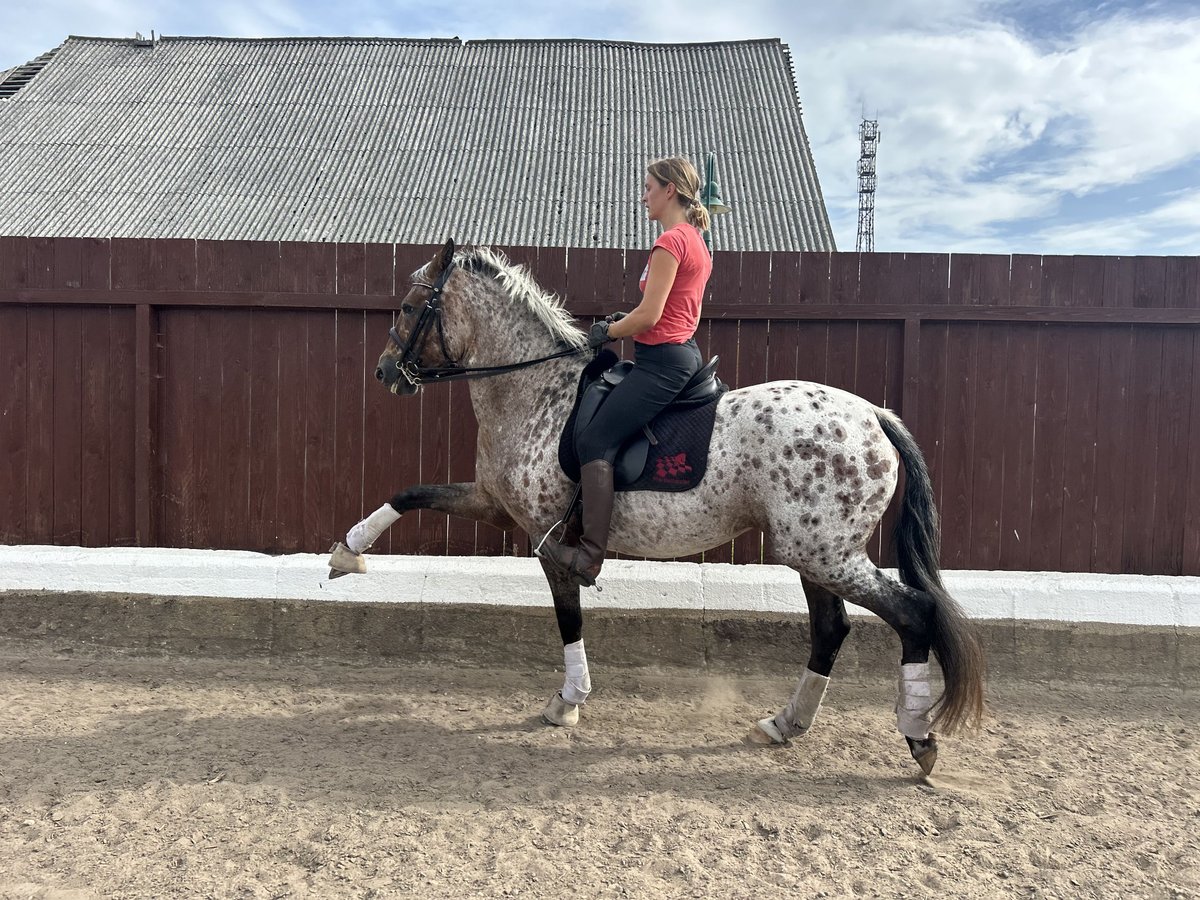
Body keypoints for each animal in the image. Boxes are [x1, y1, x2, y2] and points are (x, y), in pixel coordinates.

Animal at [328, 237, 984, 777]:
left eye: (409, 307)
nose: (385, 371)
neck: (533, 390)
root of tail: (873, 414)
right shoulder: (495, 504)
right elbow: (410, 493)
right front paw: (346, 553)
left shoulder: (546, 533)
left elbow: (568, 617)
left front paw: (567, 702)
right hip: (813, 552)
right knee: (832, 627)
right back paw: (785, 724)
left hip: (824, 553)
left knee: (913, 613)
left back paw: (918, 739)